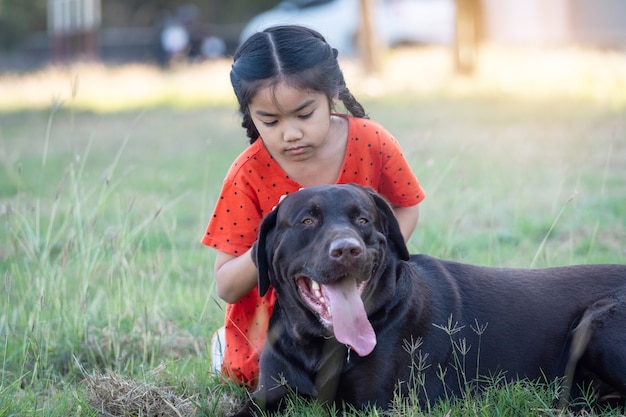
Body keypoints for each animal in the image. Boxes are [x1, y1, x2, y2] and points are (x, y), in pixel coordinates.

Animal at [233, 184, 624, 414]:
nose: (347, 250)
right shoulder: (268, 396)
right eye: (307, 220)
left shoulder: (373, 406)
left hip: (594, 324)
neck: (318, 345)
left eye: (363, 219)